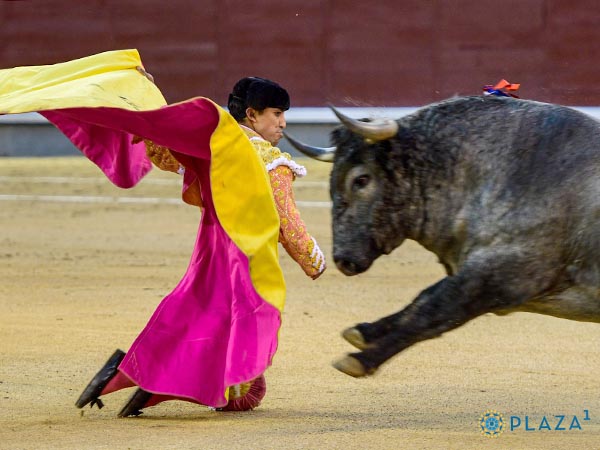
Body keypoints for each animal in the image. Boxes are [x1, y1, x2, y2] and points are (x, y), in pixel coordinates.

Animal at [284, 96, 600, 378]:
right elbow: (426, 297)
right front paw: (365, 331)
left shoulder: (502, 276)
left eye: (361, 179)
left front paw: (361, 359)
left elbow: (435, 311)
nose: (343, 260)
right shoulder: (477, 270)